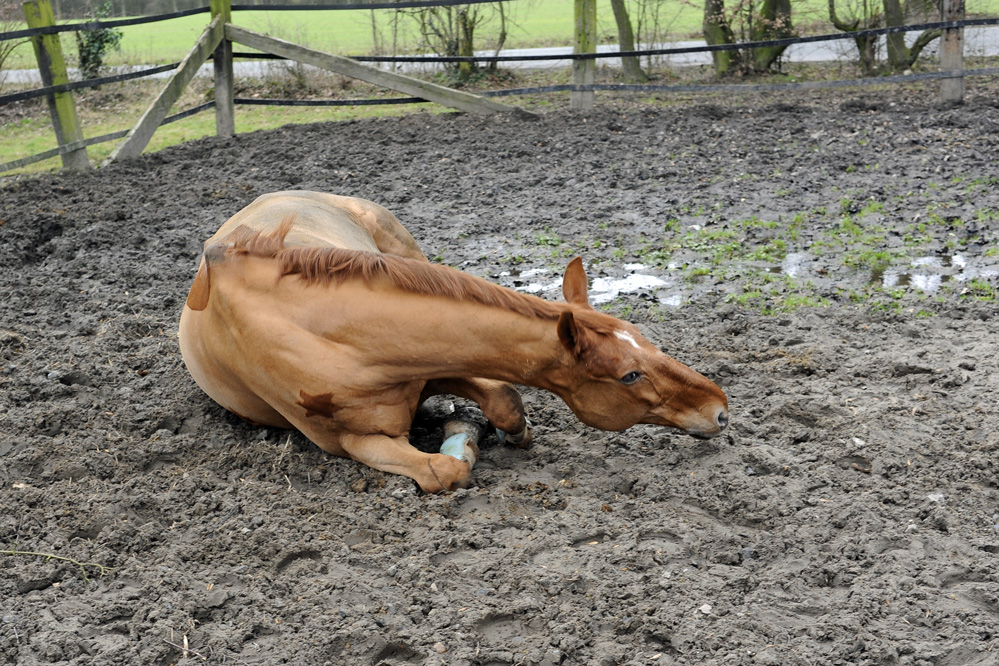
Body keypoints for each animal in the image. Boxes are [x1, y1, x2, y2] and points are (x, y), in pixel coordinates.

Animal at [178, 189, 728, 490]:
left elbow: (505, 399)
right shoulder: (350, 441)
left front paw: (505, 432)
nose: (721, 409)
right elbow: (444, 473)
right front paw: (461, 447)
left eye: (647, 340)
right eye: (630, 375)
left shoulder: (439, 364)